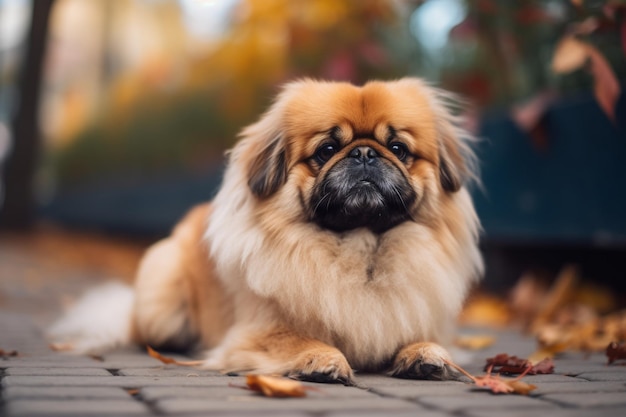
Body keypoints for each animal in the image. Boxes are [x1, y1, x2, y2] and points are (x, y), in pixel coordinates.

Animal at [51, 78, 486, 384]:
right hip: (163, 303)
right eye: (328, 150)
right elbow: (300, 340)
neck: (360, 247)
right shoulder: (259, 332)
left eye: (398, 149)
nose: (364, 154)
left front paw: (426, 355)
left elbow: (427, 341)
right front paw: (323, 359)